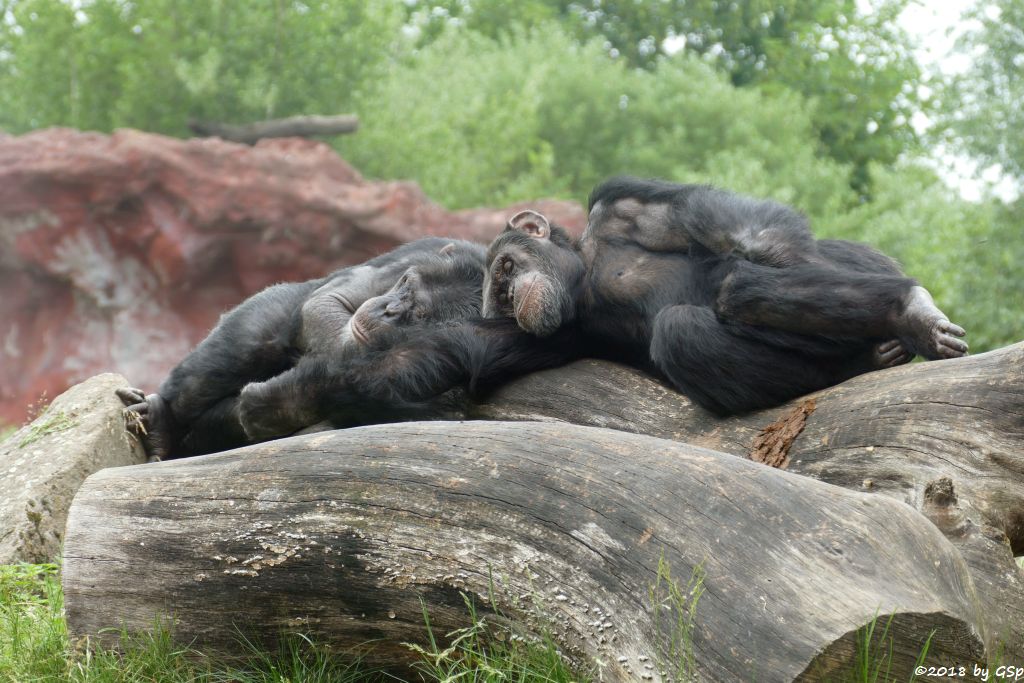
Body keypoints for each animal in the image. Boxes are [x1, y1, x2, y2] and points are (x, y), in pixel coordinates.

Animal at [117, 237, 487, 462]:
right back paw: (162, 425)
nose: (390, 309)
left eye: (418, 314)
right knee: (239, 346)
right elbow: (325, 303)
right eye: (407, 285)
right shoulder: (407, 262)